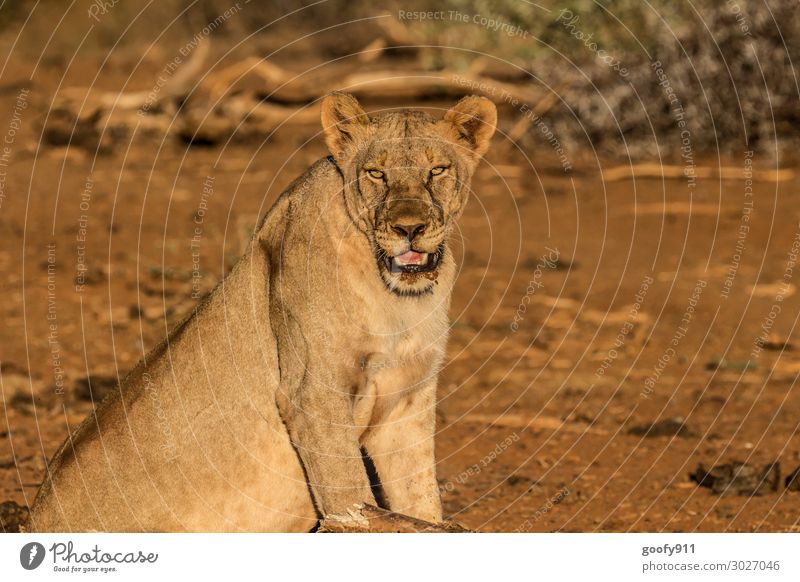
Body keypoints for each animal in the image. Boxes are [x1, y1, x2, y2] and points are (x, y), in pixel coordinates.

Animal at [31, 91, 496, 532]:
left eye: (437, 170)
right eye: (375, 174)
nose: (409, 228)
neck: (397, 301)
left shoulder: (408, 400)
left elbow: (420, 499)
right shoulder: (312, 395)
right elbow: (350, 499)